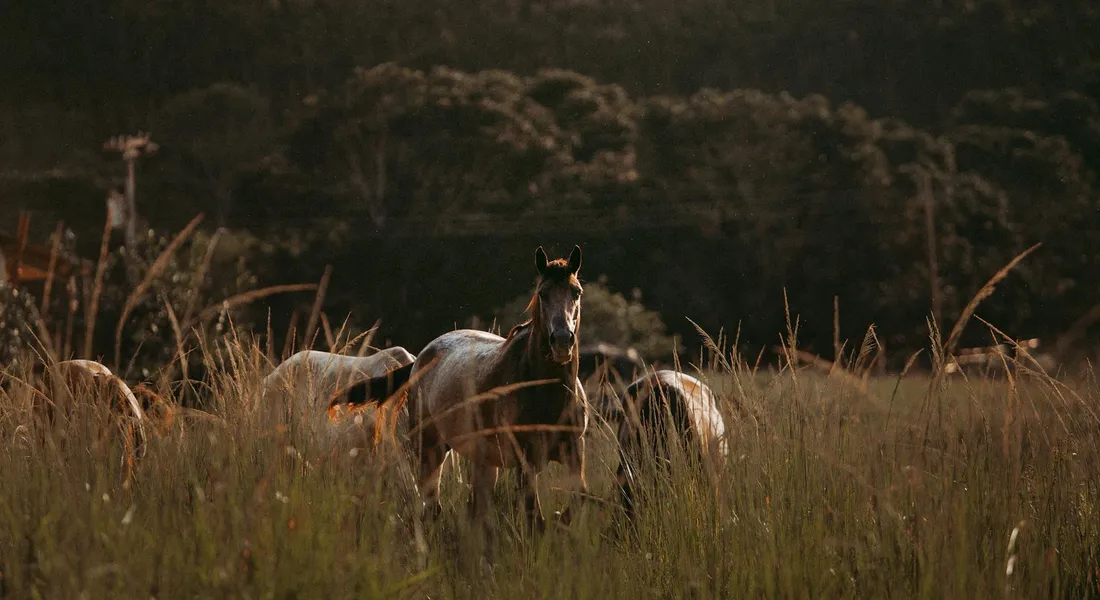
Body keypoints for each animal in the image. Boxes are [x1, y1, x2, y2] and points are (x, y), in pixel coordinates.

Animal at [343, 245, 590, 529]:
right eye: (542, 293)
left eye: (576, 292)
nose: (561, 341)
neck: (544, 392)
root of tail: (419, 358)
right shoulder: (524, 460)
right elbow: (534, 518)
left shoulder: (574, 450)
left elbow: (579, 497)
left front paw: (560, 519)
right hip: (431, 449)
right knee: (432, 505)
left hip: (484, 462)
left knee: (474, 508)